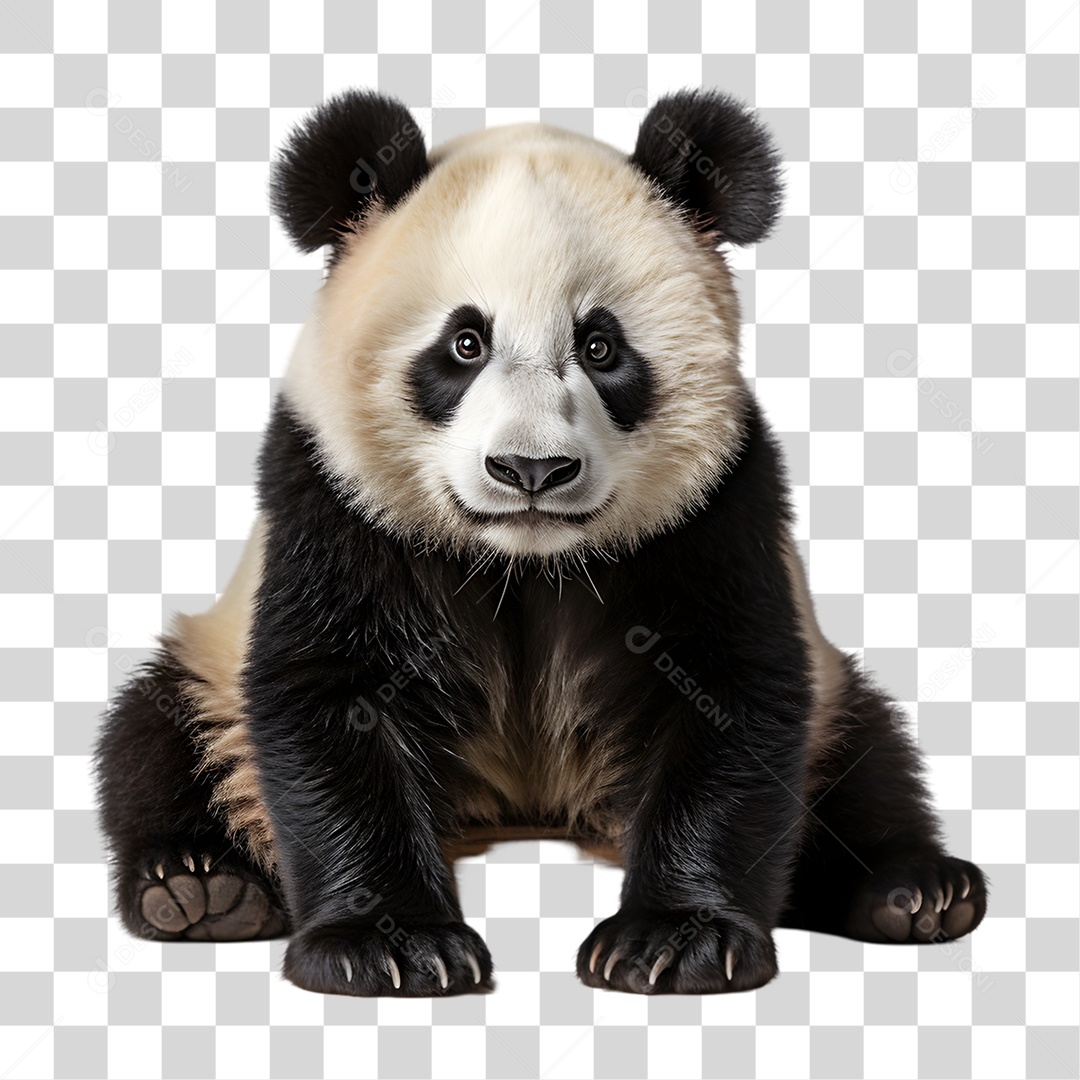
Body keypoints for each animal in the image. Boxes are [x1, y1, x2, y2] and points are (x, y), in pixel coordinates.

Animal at [95, 88, 987, 996]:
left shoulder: (719, 510)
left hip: (833, 693)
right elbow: (331, 695)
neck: (524, 563)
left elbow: (729, 692)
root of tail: (525, 809)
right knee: (155, 737)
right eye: (465, 343)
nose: (532, 469)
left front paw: (673, 941)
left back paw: (916, 892)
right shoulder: (330, 501)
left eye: (601, 345)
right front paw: (390, 946)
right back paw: (200, 889)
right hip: (209, 665)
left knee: (866, 761)